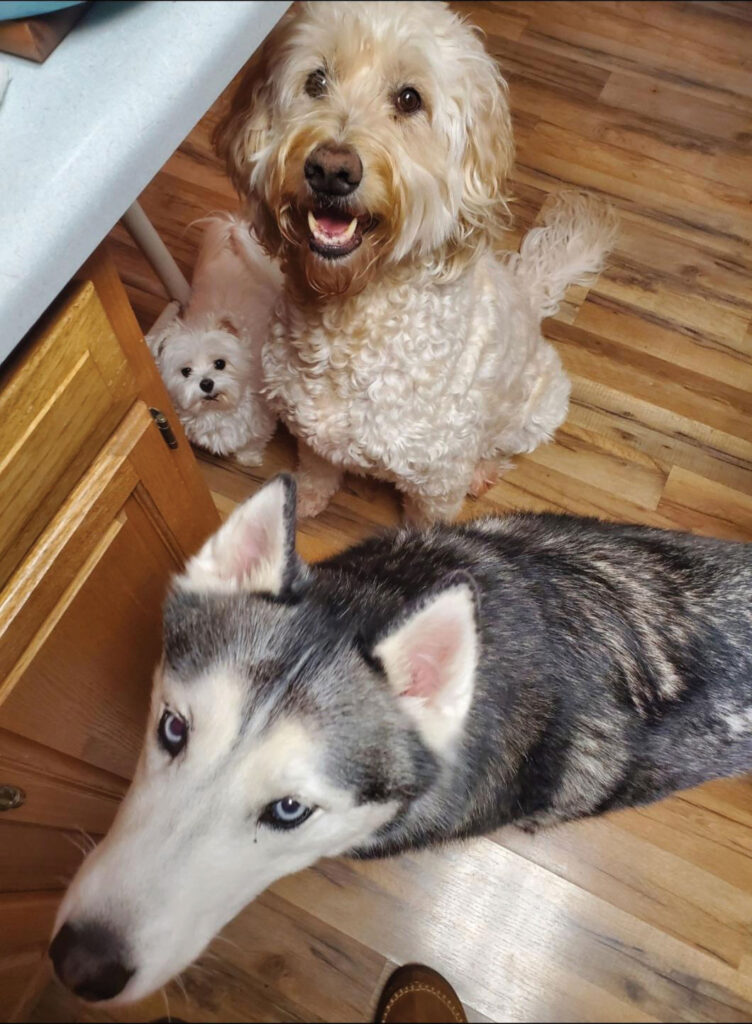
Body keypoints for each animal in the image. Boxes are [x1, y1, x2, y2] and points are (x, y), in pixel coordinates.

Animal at [149, 220, 282, 468]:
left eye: (220, 363)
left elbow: (254, 441)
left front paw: (249, 458)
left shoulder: (261, 418)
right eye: (186, 371)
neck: (218, 411)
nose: (206, 383)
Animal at [213, 0, 618, 520]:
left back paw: (485, 469)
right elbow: (319, 469)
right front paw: (304, 502)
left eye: (409, 99)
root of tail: (527, 293)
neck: (351, 316)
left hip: (539, 407)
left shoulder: (437, 481)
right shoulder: (312, 431)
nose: (331, 170)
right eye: (316, 81)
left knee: (500, 444)